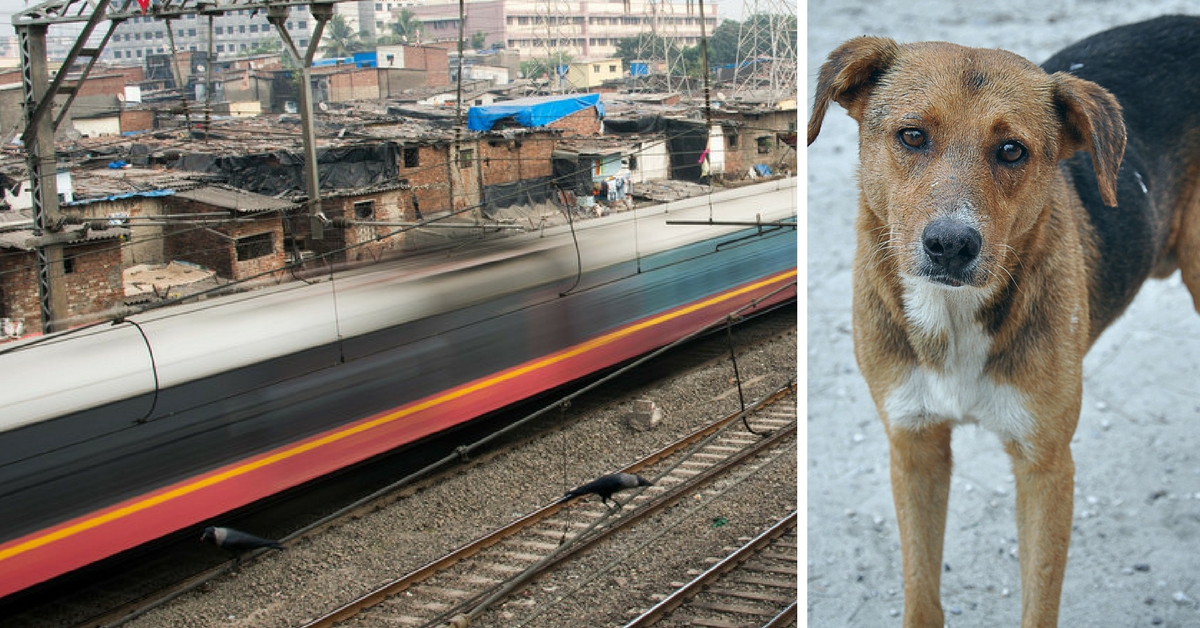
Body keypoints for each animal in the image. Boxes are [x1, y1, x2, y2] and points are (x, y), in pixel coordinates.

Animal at [806, 14, 1200, 628]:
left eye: (1012, 151)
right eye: (912, 136)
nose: (950, 245)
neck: (952, 318)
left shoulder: (1046, 467)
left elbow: (1039, 601)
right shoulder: (914, 447)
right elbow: (921, 595)